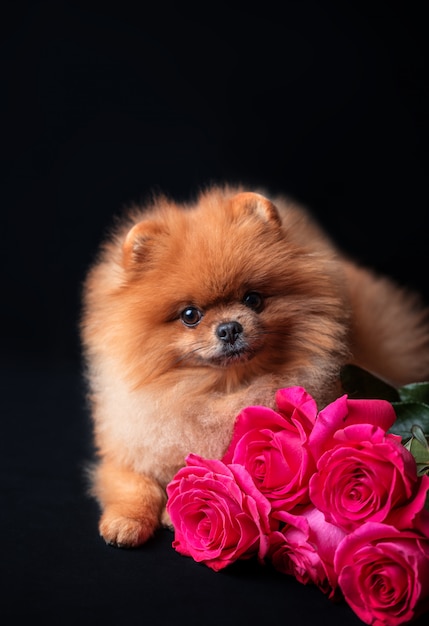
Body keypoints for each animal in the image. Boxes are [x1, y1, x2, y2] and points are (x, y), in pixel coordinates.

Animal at [79, 185, 428, 544]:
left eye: (253, 299)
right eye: (190, 315)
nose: (230, 328)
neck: (222, 390)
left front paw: (171, 514)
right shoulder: (131, 448)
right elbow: (135, 485)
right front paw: (125, 522)